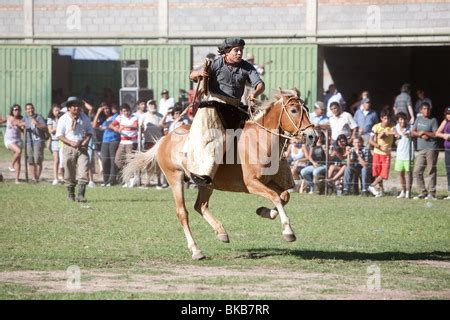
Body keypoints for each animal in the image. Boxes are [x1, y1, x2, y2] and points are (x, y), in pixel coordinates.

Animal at [123, 90, 316, 260]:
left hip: (206, 182)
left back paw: (221, 232)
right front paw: (288, 231)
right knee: (182, 212)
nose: (312, 135)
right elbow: (275, 197)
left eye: (306, 109)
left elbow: (283, 196)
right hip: (175, 179)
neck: (260, 141)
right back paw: (196, 250)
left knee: (200, 206)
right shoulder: (252, 184)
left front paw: (264, 212)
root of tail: (165, 139)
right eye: (294, 110)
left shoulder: (268, 182)